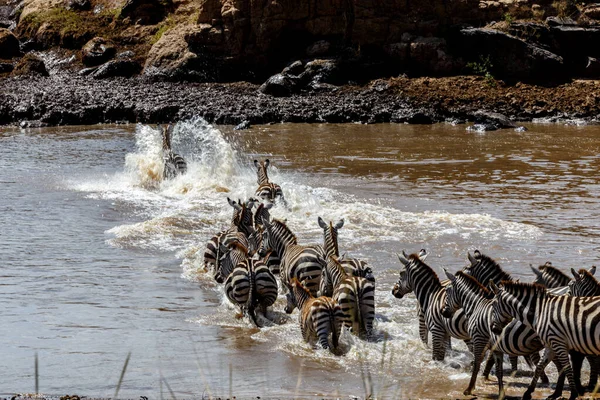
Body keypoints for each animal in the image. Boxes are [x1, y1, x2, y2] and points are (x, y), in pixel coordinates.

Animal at [440, 268, 548, 396]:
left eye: (447, 291)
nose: (442, 312)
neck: (476, 306)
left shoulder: (478, 339)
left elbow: (477, 364)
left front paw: (469, 389)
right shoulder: (494, 346)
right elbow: (497, 370)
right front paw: (500, 393)